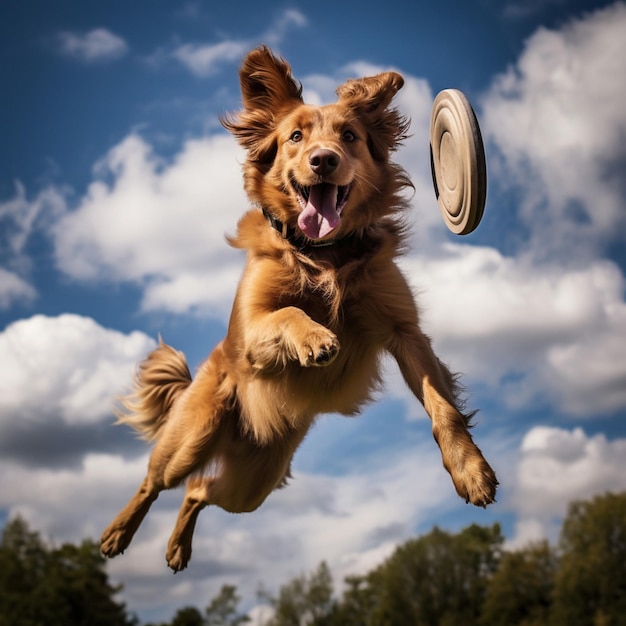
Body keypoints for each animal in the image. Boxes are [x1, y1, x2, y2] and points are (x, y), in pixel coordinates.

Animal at [100, 45, 494, 572]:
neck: (324, 254)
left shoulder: (404, 330)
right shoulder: (250, 330)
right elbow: (288, 313)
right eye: (295, 136)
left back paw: (177, 547)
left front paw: (471, 471)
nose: (323, 160)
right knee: (156, 481)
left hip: (255, 481)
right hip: (193, 435)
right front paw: (316, 338)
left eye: (349, 136)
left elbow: (443, 407)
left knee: (198, 491)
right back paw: (117, 533)